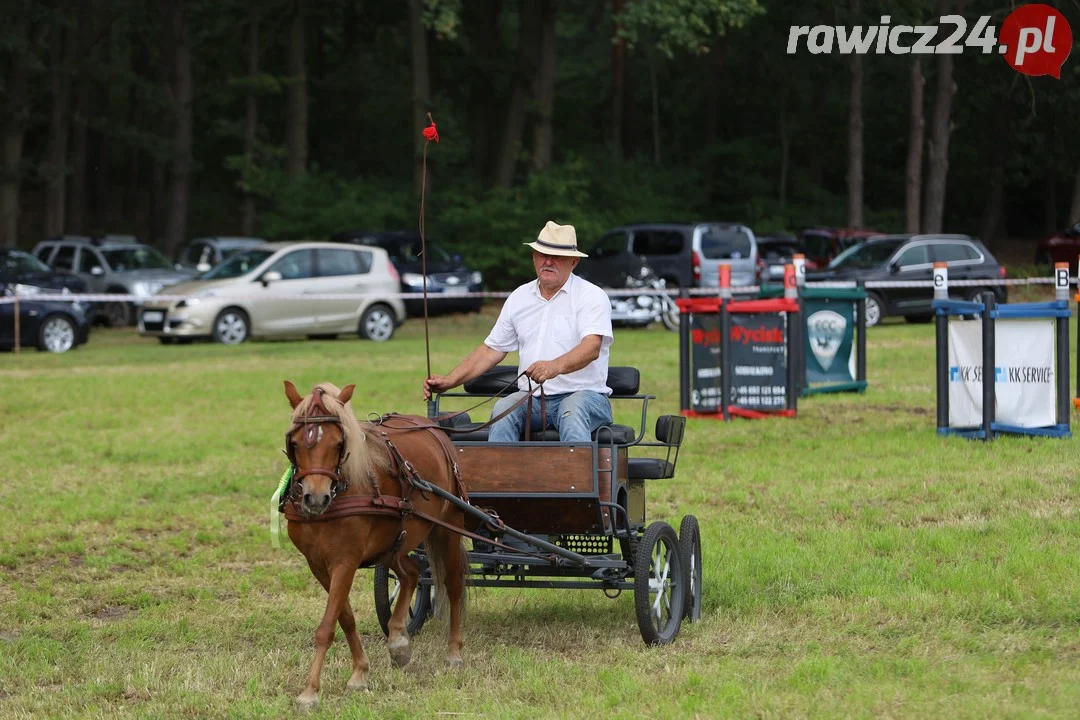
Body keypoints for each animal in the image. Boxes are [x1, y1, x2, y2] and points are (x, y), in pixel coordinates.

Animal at [280, 379, 466, 712]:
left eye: (338, 444)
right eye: (296, 443)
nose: (315, 498)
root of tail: (433, 429)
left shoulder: (346, 560)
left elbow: (326, 627)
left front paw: (310, 692)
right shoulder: (318, 565)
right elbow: (345, 618)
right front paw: (360, 674)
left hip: (448, 528)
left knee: (453, 584)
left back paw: (454, 653)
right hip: (392, 543)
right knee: (411, 573)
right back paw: (398, 640)